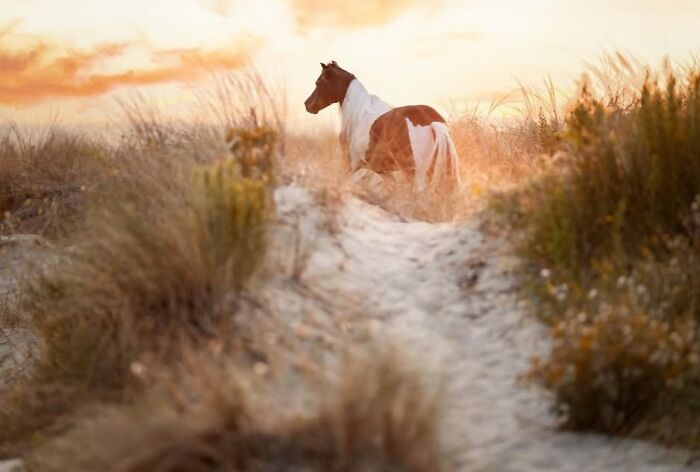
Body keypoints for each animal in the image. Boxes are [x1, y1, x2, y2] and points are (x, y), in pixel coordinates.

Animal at [304, 61, 460, 192]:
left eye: (318, 83)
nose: (307, 104)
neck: (358, 113)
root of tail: (430, 121)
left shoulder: (351, 164)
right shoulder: (382, 171)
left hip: (415, 172)